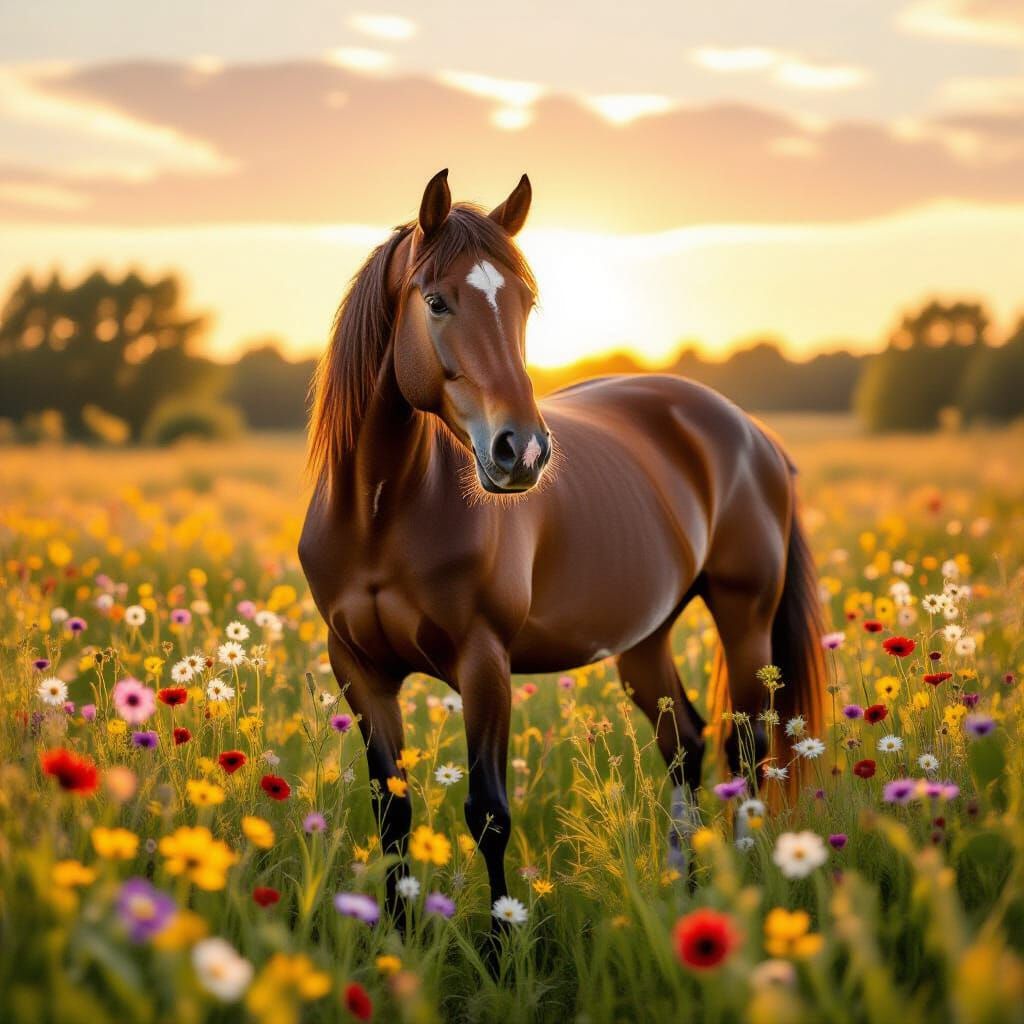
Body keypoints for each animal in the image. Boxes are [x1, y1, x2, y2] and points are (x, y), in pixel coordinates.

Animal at [299, 169, 826, 929]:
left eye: (525, 302)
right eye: (436, 301)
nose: (522, 451)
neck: (379, 515)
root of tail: (751, 432)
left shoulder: (484, 664)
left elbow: (488, 814)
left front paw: (501, 943)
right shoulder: (359, 672)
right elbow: (392, 814)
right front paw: (396, 940)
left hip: (744, 616)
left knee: (747, 748)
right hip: (644, 641)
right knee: (686, 745)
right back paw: (684, 890)